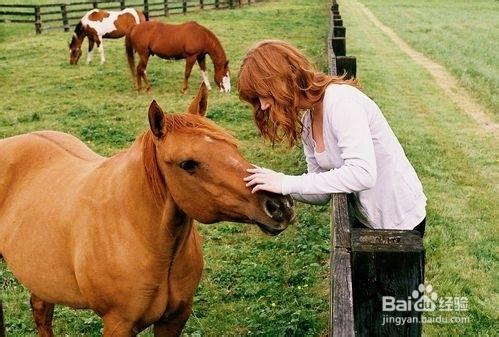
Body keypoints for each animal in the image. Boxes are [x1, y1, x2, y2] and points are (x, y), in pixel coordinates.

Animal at [0, 83, 294, 334]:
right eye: (188, 164)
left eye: (232, 145)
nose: (279, 205)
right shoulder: (118, 324)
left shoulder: (175, 319)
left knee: (41, 311)